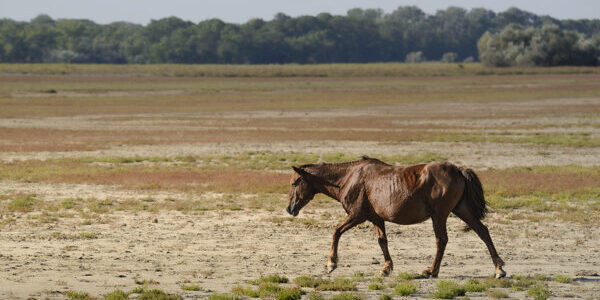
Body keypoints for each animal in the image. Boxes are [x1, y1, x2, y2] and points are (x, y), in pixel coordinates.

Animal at [286, 157, 506, 278]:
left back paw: (431, 271)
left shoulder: (357, 215)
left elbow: (336, 231)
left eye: (295, 182)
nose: (290, 208)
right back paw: (499, 269)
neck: (349, 178)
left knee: (442, 240)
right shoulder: (376, 219)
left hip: (440, 215)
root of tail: (458, 170)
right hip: (462, 211)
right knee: (483, 232)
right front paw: (386, 268)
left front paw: (331, 263)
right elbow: (382, 241)